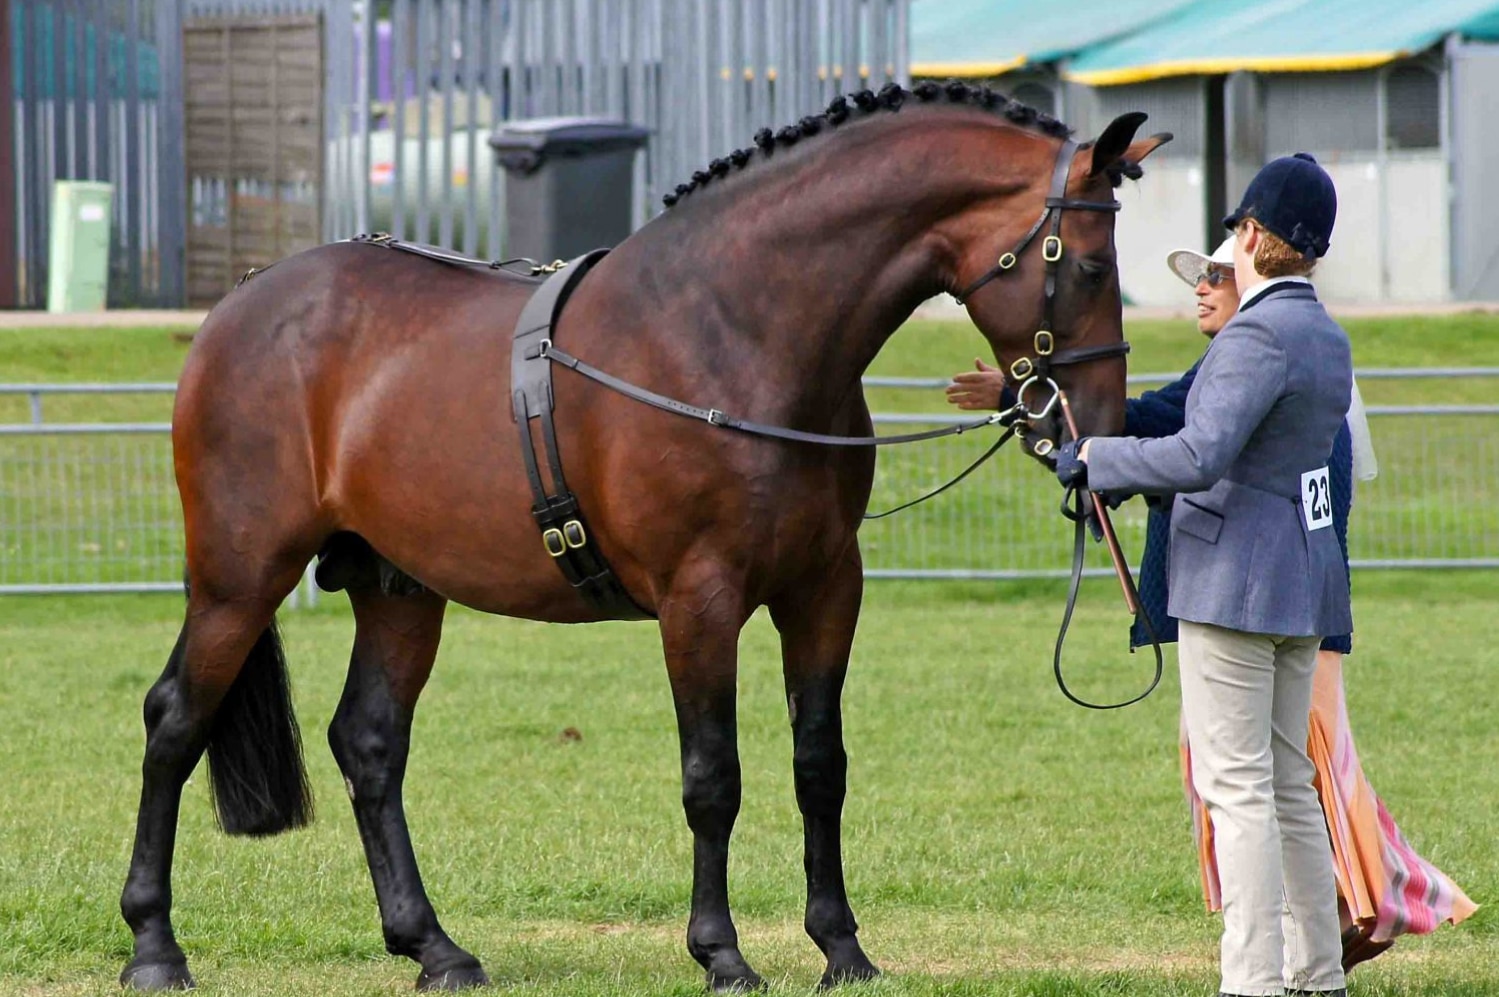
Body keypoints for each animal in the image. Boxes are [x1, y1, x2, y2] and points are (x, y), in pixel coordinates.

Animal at [116, 81, 1169, 989]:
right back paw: (155, 945)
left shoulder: (825, 589)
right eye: (1088, 264)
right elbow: (713, 777)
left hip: (397, 589)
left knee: (369, 745)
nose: (1094, 430)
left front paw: (841, 947)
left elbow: (818, 767)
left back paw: (435, 947)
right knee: (174, 721)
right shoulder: (698, 600)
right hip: (239, 575)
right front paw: (722, 953)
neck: (731, 332)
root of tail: (244, 302)